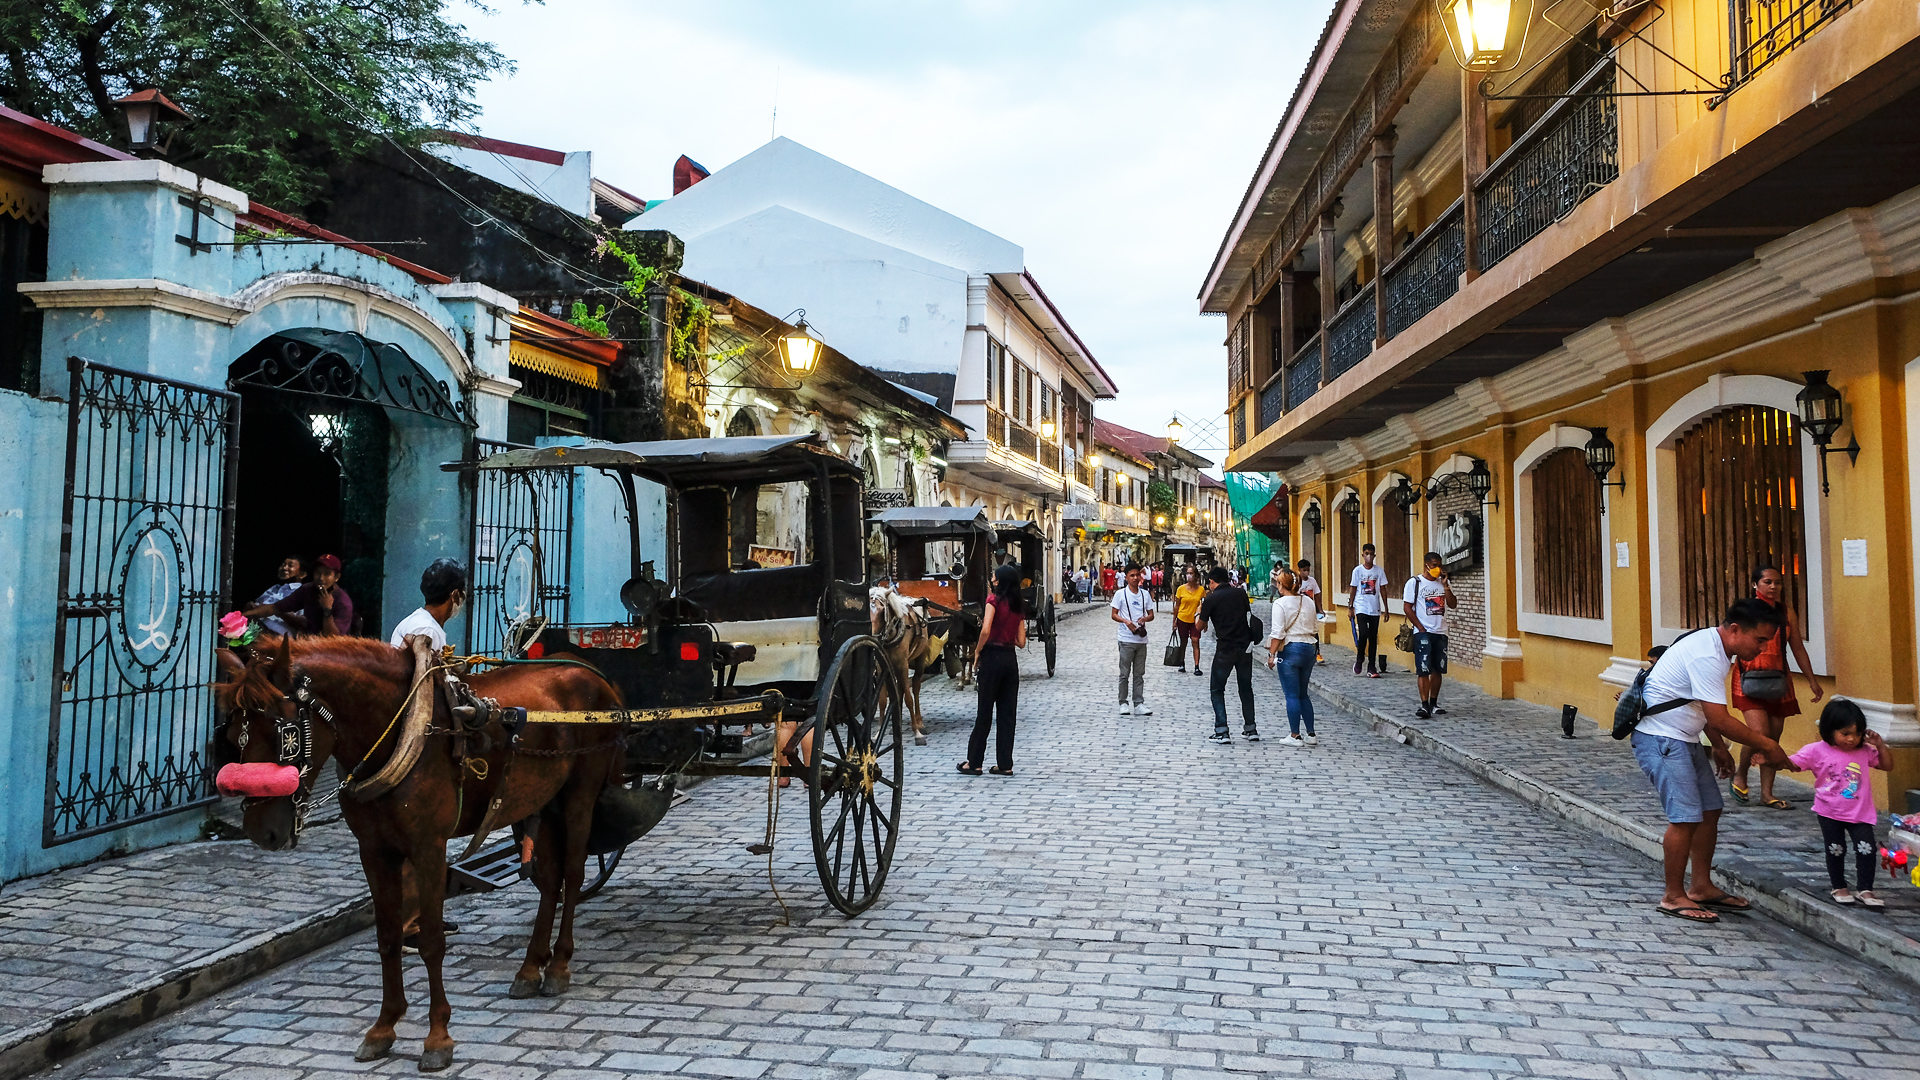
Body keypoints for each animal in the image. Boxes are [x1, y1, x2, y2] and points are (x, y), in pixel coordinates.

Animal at [216, 634, 622, 1060]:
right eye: (231, 735)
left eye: (286, 736)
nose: (260, 831)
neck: (399, 732)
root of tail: (591, 672)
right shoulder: (374, 851)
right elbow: (388, 937)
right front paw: (383, 1027)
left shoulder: (429, 848)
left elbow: (430, 942)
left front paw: (437, 1037)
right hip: (543, 801)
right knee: (550, 881)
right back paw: (530, 969)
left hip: (579, 796)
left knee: (572, 875)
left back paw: (558, 966)